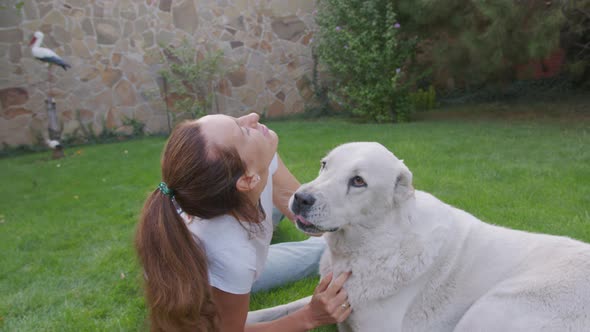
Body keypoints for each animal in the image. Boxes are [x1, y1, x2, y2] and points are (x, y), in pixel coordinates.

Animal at [250, 143, 590, 332]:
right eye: (324, 165)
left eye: (358, 181)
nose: (300, 199)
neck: (372, 246)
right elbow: (277, 312)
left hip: (487, 310)